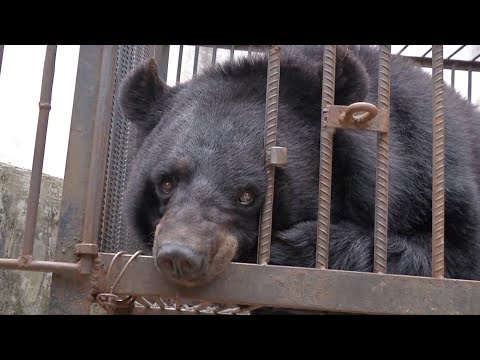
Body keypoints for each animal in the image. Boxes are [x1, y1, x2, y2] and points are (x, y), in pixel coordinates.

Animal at [117, 45, 480, 288]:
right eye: (165, 183)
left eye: (248, 195)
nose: (180, 256)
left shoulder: (426, 172)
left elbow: (457, 253)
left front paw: (295, 247)